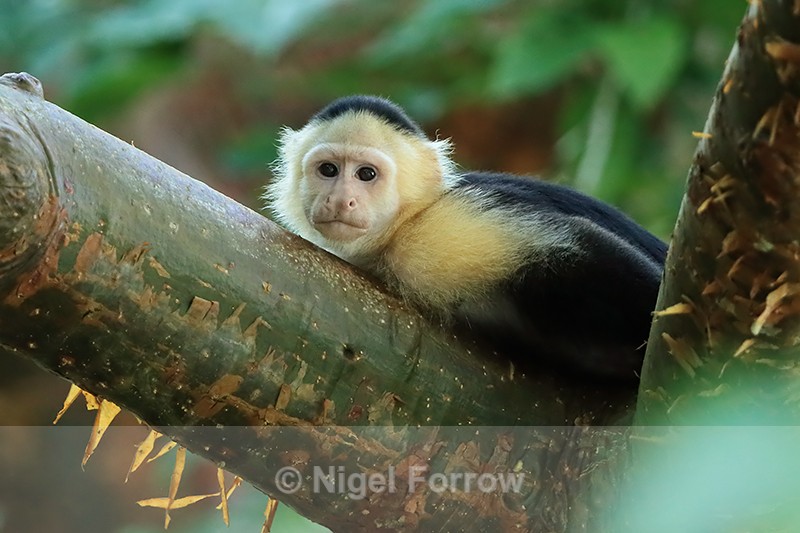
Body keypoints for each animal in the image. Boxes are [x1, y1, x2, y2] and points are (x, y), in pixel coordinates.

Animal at [265, 95, 668, 381]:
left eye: (366, 174)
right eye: (328, 170)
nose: (339, 200)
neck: (401, 226)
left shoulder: (440, 231)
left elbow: (580, 246)